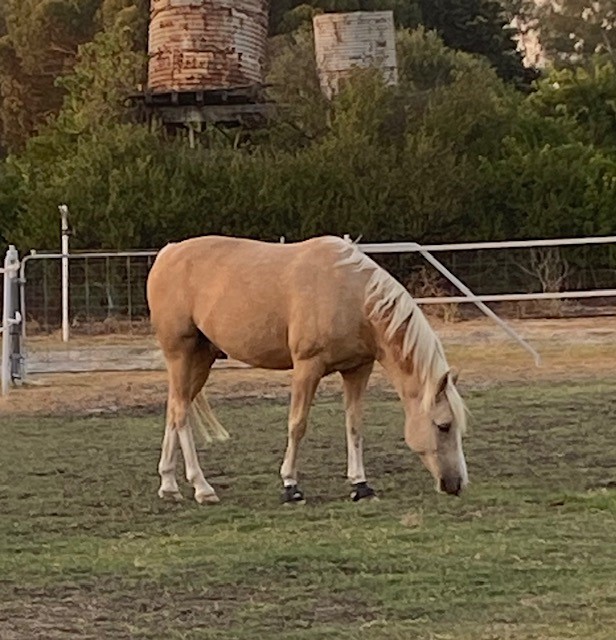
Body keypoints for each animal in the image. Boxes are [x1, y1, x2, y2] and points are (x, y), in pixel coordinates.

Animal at [146, 235, 468, 505]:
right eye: (443, 425)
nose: (456, 484)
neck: (351, 295)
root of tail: (168, 253)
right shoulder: (307, 367)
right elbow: (297, 424)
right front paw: (291, 486)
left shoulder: (357, 369)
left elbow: (354, 426)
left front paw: (360, 485)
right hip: (180, 354)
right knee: (180, 413)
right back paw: (202, 488)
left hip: (201, 360)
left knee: (175, 408)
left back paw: (169, 485)